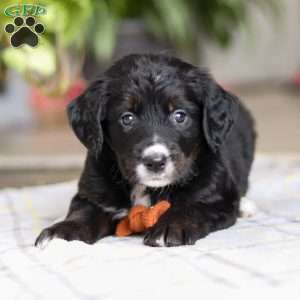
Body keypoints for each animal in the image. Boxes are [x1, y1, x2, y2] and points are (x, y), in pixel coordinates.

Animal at [35, 54, 255, 248]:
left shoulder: (214, 195)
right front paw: (61, 233)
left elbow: (193, 207)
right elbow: (83, 213)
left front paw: (170, 227)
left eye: (180, 115)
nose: (155, 162)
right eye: (127, 118)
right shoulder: (93, 193)